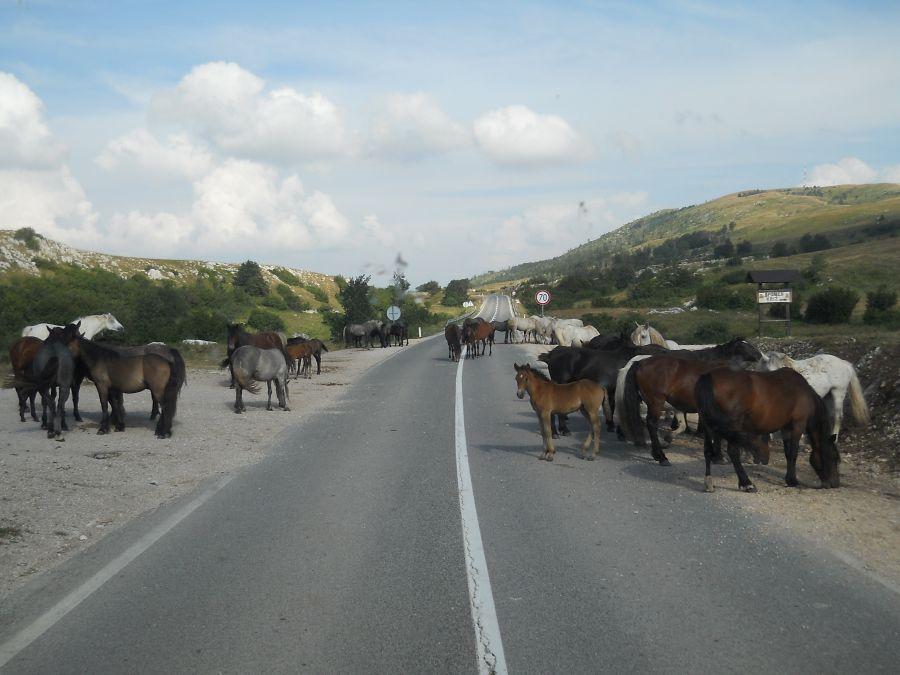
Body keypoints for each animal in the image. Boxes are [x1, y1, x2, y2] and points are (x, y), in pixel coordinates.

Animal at [696, 368, 836, 494]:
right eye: (834, 458)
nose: (834, 483)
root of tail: (708, 377)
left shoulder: (786, 428)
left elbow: (788, 453)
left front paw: (789, 478)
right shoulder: (797, 425)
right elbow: (793, 453)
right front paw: (792, 480)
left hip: (707, 424)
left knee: (707, 451)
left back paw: (709, 482)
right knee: (733, 452)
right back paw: (747, 484)